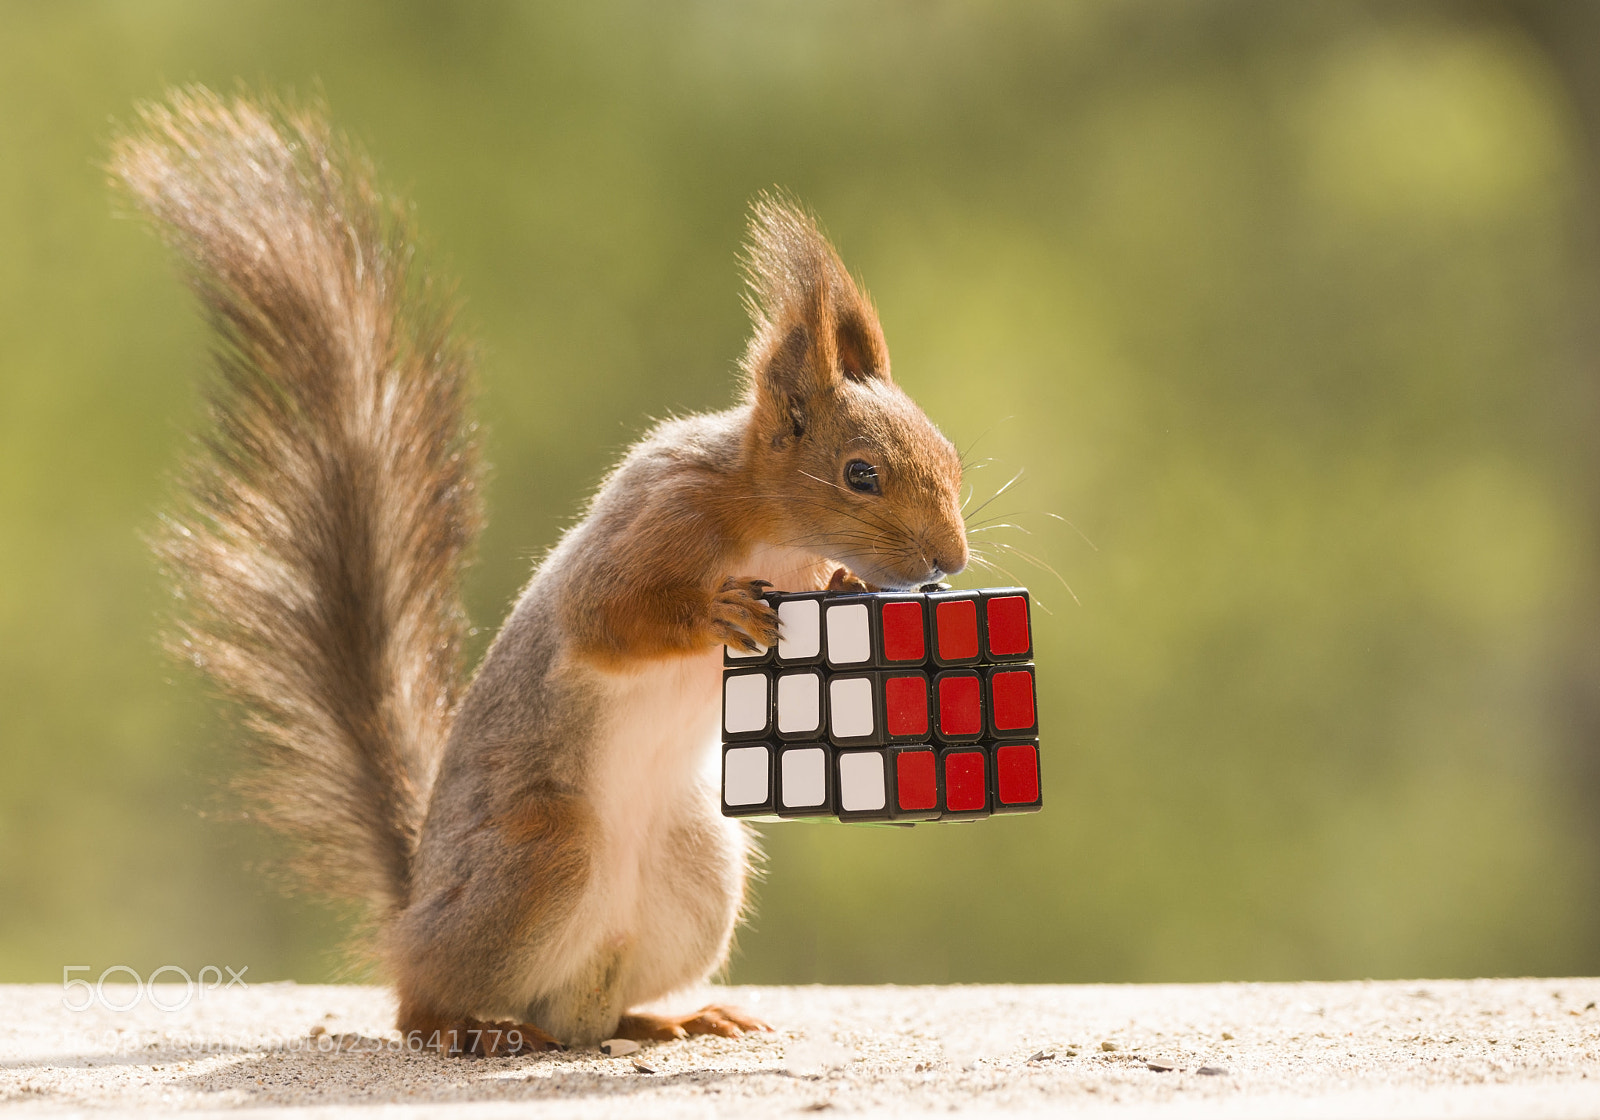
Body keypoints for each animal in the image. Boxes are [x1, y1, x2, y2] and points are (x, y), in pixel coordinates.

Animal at [111, 87, 968, 1055]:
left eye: (949, 455)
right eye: (861, 474)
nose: (950, 560)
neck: (768, 525)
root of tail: (415, 908)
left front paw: (846, 590)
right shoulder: (656, 515)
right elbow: (603, 618)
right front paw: (719, 614)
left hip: (696, 870)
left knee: (594, 1013)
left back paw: (673, 1016)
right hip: (539, 854)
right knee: (422, 997)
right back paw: (463, 1024)